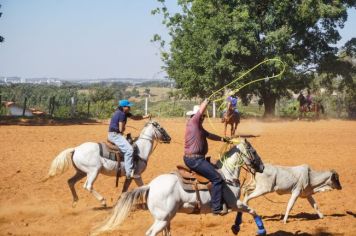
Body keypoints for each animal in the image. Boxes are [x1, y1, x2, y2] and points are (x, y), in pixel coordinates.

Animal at [43, 121, 172, 207]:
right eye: (161, 128)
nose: (169, 138)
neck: (140, 150)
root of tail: (76, 149)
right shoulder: (137, 175)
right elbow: (143, 187)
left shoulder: (129, 176)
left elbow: (125, 189)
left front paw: (120, 201)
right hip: (93, 171)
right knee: (88, 186)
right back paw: (103, 201)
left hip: (81, 172)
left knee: (70, 182)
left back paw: (75, 201)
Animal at [92, 139, 268, 235]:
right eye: (253, 151)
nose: (262, 167)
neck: (226, 174)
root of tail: (150, 186)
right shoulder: (233, 203)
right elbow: (252, 210)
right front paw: (261, 230)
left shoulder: (235, 204)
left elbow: (244, 211)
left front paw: (236, 227)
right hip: (163, 219)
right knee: (151, 233)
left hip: (166, 218)